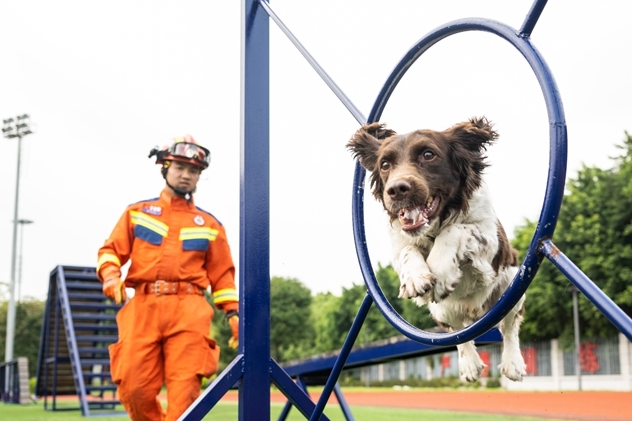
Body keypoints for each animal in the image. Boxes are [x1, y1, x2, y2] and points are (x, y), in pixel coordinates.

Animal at [348, 115, 524, 380]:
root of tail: (475, 312)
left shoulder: (491, 240)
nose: (396, 190)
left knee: (510, 325)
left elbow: (455, 230)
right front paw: (415, 278)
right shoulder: (399, 243)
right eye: (385, 164)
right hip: (440, 311)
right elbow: (408, 251)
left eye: (428, 154)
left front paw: (440, 273)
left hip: (511, 285)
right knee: (458, 332)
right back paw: (470, 364)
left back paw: (513, 364)